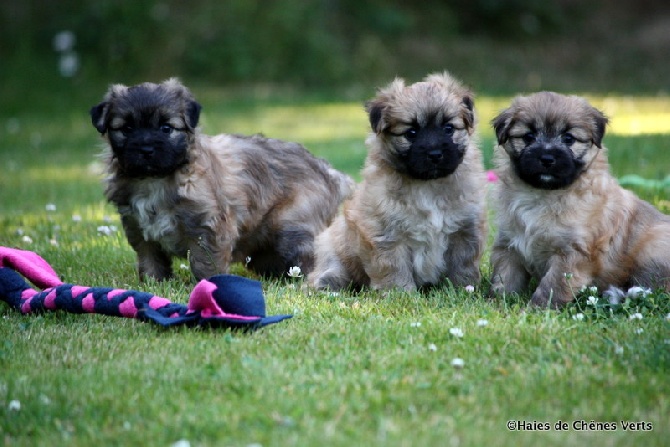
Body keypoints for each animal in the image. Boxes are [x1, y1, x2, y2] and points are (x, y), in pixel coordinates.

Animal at [91, 77, 354, 280]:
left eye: (166, 128)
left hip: (292, 228)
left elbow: (206, 263)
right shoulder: (139, 228)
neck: (157, 180)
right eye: (126, 129)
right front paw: (154, 283)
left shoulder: (210, 228)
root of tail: (329, 172)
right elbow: (150, 259)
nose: (146, 149)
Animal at [310, 72, 488, 292]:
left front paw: (464, 289)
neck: (427, 185)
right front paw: (399, 292)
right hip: (333, 246)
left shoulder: (465, 230)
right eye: (411, 132)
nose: (435, 154)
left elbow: (463, 266)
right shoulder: (387, 234)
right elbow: (393, 266)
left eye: (448, 128)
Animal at [488, 91, 670, 308]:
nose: (547, 158)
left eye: (568, 138)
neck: (544, 195)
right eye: (528, 137)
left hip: (652, 247)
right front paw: (498, 303)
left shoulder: (573, 253)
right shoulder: (509, 245)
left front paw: (537, 308)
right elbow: (505, 277)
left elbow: (553, 285)